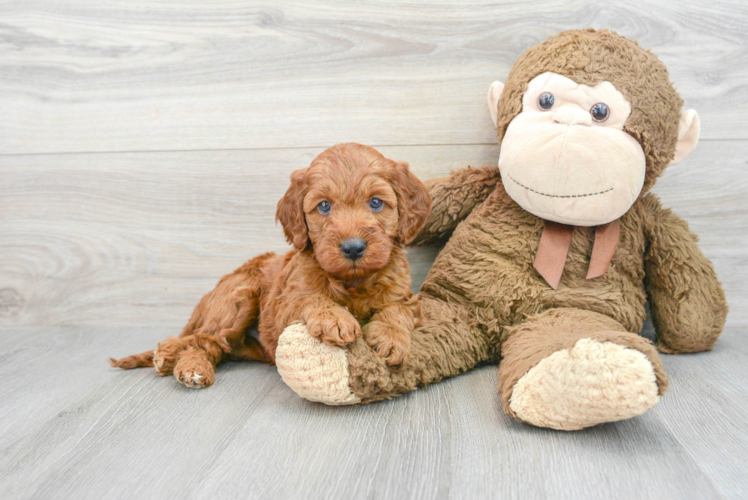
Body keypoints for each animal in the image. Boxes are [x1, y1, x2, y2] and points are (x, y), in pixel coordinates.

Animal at [108, 143, 430, 388]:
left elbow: (397, 310)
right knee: (201, 339)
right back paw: (184, 364)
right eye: (324, 206)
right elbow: (310, 298)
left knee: (215, 345)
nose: (353, 248)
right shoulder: (283, 306)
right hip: (239, 297)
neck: (352, 281)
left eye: (376, 202)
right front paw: (334, 318)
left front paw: (391, 338)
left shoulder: (405, 296)